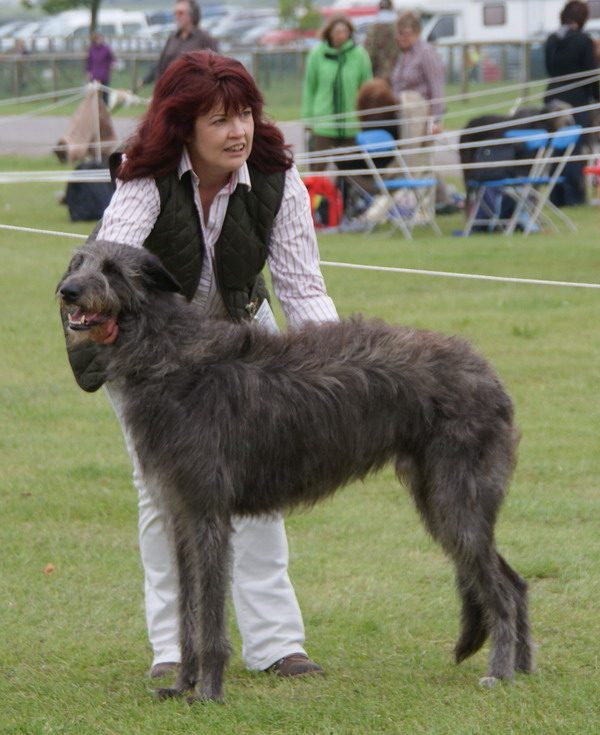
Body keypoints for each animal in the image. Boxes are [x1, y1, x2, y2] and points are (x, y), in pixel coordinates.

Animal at [57, 240, 536, 700]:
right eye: (77, 262)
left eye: (113, 270)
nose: (67, 292)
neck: (169, 356)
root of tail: (487, 371)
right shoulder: (180, 514)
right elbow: (187, 612)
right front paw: (180, 685)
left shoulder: (208, 513)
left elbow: (210, 613)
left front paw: (208, 691)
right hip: (440, 498)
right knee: (514, 580)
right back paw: (523, 665)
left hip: (457, 498)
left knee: (501, 590)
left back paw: (499, 673)